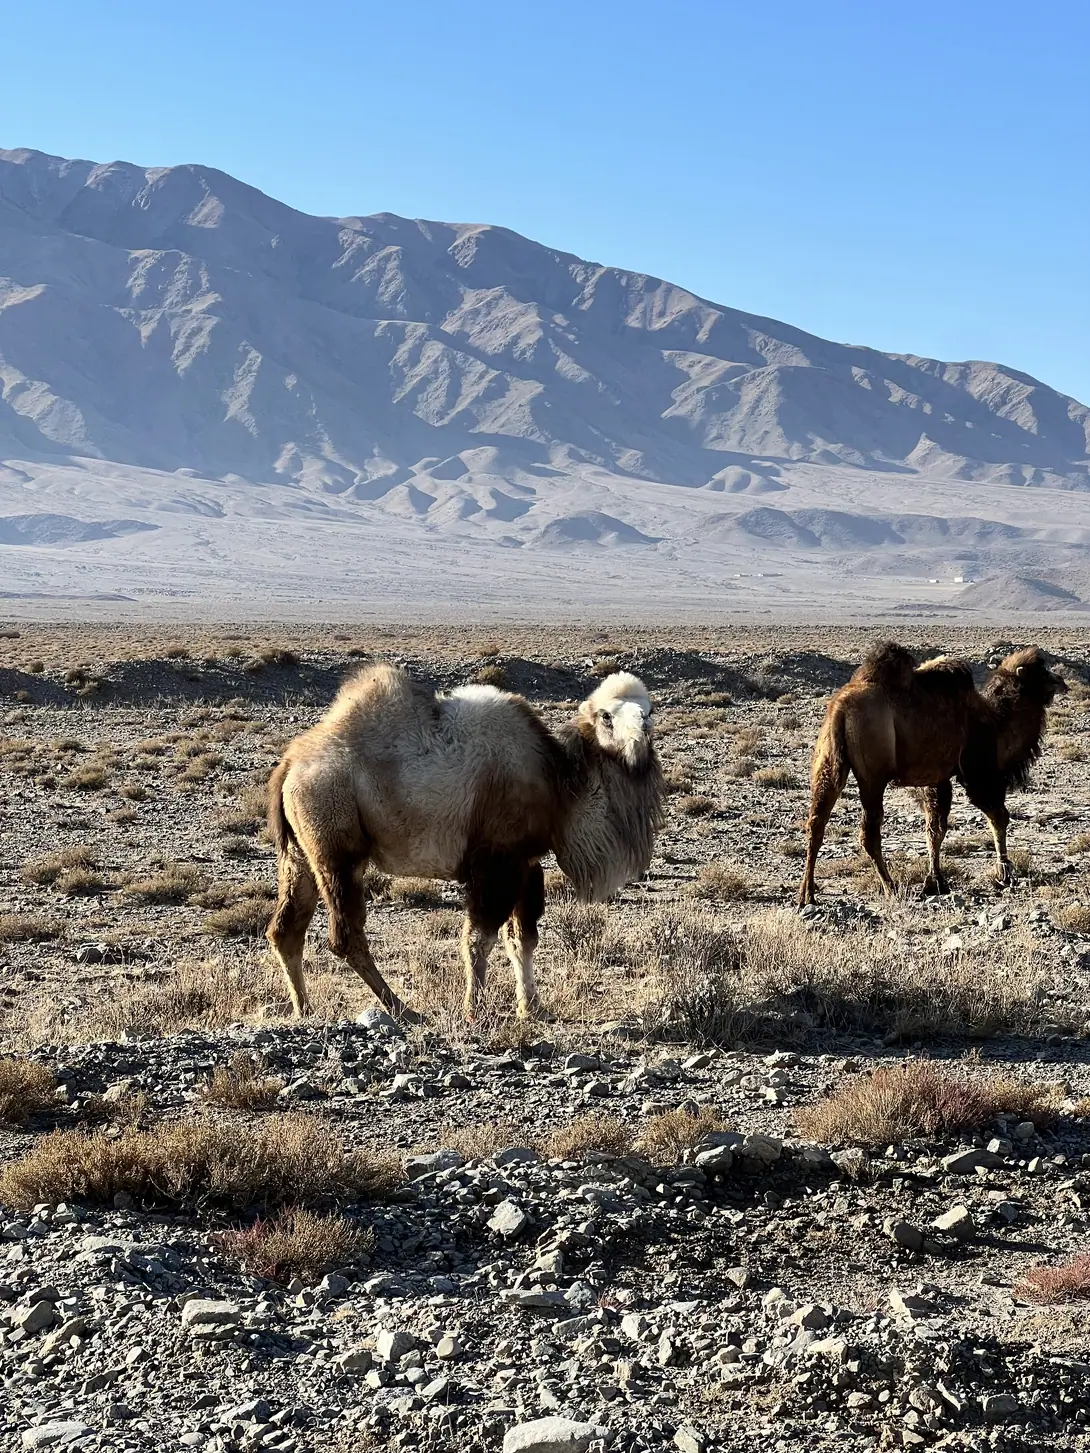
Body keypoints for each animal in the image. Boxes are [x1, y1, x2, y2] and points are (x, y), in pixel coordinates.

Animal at [266, 665, 665, 1021]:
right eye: (606, 717)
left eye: (649, 711)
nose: (640, 736)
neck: (558, 782)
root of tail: (289, 765)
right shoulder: (495, 861)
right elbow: (479, 937)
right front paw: (475, 1009)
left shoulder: (525, 863)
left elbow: (522, 938)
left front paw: (532, 1008)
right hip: (337, 846)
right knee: (345, 935)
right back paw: (403, 1009)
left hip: (300, 853)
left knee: (286, 929)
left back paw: (304, 1009)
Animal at [797, 642, 1067, 906]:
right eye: (1040, 673)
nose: (1062, 681)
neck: (995, 721)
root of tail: (840, 708)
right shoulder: (976, 772)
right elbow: (998, 816)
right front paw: (1004, 873)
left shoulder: (937, 778)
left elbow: (935, 828)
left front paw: (934, 882)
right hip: (873, 775)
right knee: (868, 833)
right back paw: (890, 887)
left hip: (828, 761)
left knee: (816, 823)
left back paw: (807, 894)